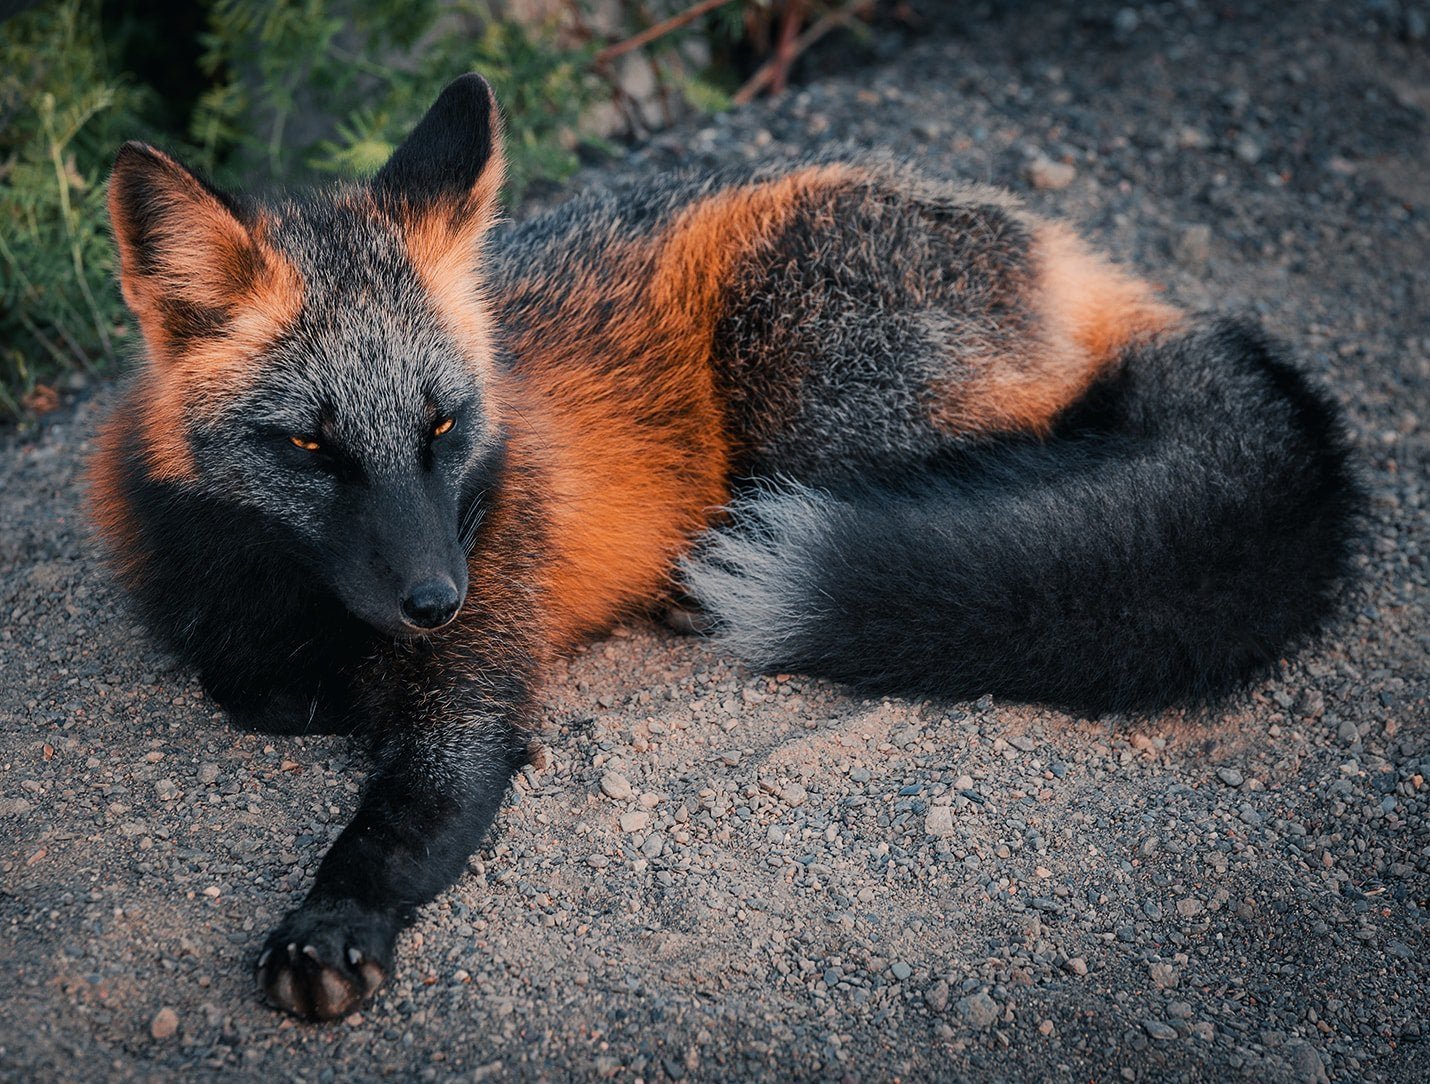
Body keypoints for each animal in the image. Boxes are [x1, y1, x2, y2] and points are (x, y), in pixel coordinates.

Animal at [89, 74, 1361, 1018]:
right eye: (310, 445)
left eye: (442, 427)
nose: (435, 597)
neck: (293, 599)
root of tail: (1064, 252)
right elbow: (245, 685)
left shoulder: (478, 682)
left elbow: (403, 817)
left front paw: (333, 923)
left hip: (801, 384)